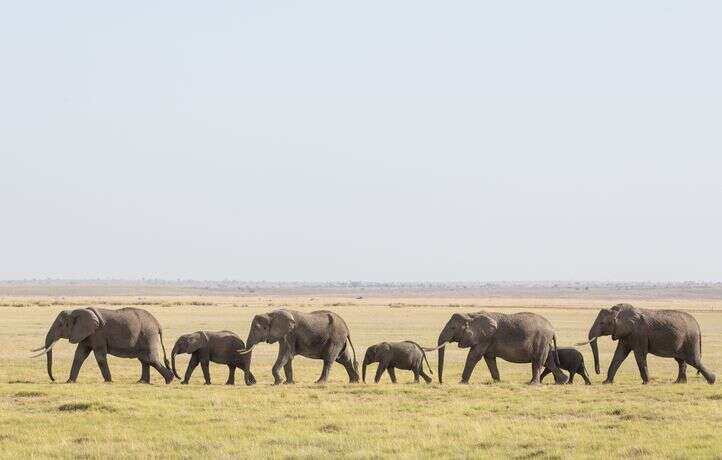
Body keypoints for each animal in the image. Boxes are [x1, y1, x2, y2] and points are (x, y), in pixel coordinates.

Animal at [28, 310, 175, 384]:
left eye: (60, 325)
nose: (54, 379)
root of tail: (158, 324)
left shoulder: (98, 333)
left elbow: (99, 356)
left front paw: (108, 381)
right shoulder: (86, 334)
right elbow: (79, 355)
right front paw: (70, 382)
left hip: (148, 335)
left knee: (150, 359)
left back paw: (169, 380)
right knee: (144, 359)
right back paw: (142, 382)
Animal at [434, 312, 568, 384]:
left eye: (453, 328)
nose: (441, 382)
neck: (471, 315)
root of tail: (552, 330)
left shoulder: (484, 338)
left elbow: (474, 356)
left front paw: (462, 383)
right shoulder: (487, 340)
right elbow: (489, 358)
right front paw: (497, 382)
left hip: (541, 340)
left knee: (538, 361)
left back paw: (533, 384)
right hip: (545, 343)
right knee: (548, 361)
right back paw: (563, 381)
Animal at [580, 302, 716, 384]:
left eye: (602, 323)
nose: (597, 372)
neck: (619, 311)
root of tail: (698, 325)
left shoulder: (639, 334)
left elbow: (639, 355)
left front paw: (646, 383)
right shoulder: (626, 333)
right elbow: (619, 354)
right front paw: (606, 382)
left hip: (690, 339)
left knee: (693, 360)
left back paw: (712, 381)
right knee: (681, 361)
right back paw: (679, 382)